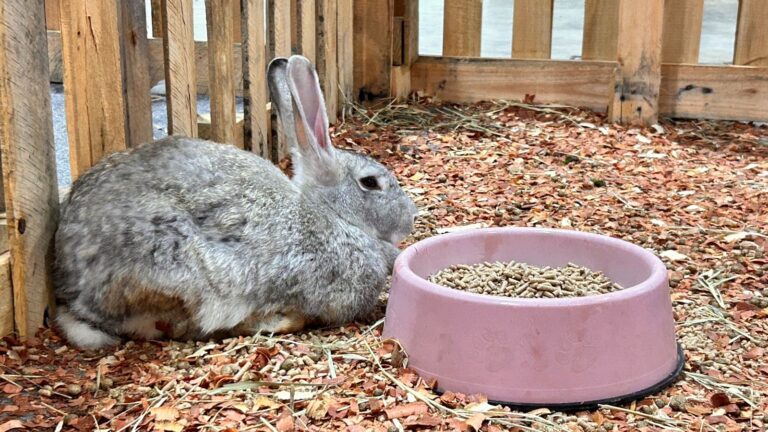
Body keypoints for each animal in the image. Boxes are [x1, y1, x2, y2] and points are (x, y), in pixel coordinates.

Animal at [53, 55, 418, 349]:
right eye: (370, 183)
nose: (410, 217)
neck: (332, 215)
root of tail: (71, 293)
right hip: (175, 267)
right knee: (183, 326)